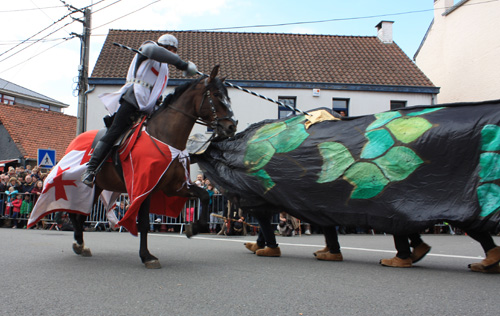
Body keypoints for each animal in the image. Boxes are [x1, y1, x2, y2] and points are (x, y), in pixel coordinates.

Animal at [66, 65, 236, 268]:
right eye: (217, 94)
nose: (231, 127)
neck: (165, 137)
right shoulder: (145, 188)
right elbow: (144, 223)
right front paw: (147, 256)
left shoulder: (175, 187)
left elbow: (203, 195)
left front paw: (193, 227)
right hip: (87, 186)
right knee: (75, 212)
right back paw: (78, 241)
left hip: (98, 188)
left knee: (80, 214)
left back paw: (79, 243)